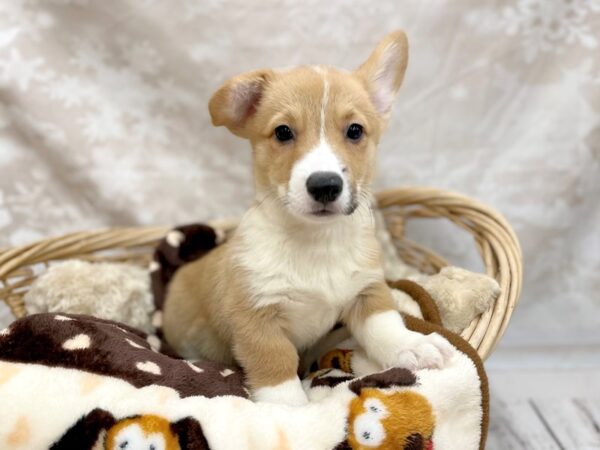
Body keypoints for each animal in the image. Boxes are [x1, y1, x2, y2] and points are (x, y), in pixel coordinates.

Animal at [162, 29, 452, 406]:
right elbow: (277, 363)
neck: (317, 242)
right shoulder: (257, 317)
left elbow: (385, 322)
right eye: (283, 132)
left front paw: (413, 346)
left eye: (355, 131)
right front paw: (291, 409)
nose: (325, 185)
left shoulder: (368, 289)